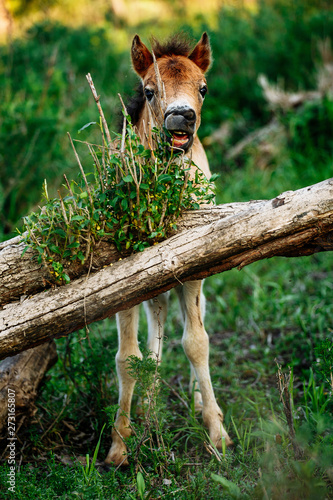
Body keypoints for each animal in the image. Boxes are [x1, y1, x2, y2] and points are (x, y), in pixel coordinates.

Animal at [105, 33, 231, 466]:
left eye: (204, 88)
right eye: (148, 90)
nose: (181, 118)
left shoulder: (193, 268)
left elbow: (197, 343)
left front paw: (217, 434)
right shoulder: (122, 281)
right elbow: (128, 357)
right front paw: (119, 444)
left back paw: (196, 403)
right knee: (155, 329)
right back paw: (148, 403)